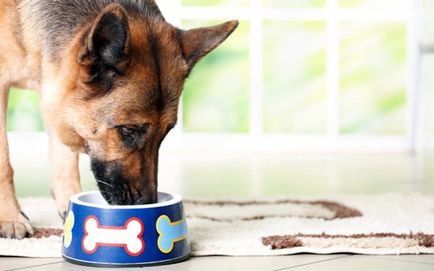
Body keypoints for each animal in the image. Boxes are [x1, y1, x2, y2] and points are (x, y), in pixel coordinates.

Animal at [0, 0, 237, 239]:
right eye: (127, 130)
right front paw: (10, 218)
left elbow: (65, 160)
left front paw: (69, 206)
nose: (147, 203)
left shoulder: (56, 93)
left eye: (165, 133)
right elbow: (4, 164)